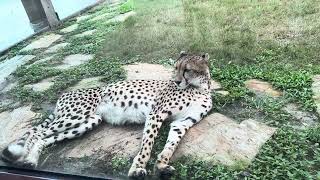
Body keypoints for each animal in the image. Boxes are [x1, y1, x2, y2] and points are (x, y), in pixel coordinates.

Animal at [2, 51, 214, 178]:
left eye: (187, 70)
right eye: (175, 68)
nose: (176, 81)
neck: (199, 88)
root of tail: (65, 94)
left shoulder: (182, 122)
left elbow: (171, 145)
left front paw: (162, 165)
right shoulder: (156, 113)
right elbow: (147, 145)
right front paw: (138, 168)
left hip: (88, 121)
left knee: (45, 138)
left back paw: (32, 159)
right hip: (75, 115)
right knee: (36, 132)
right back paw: (25, 157)